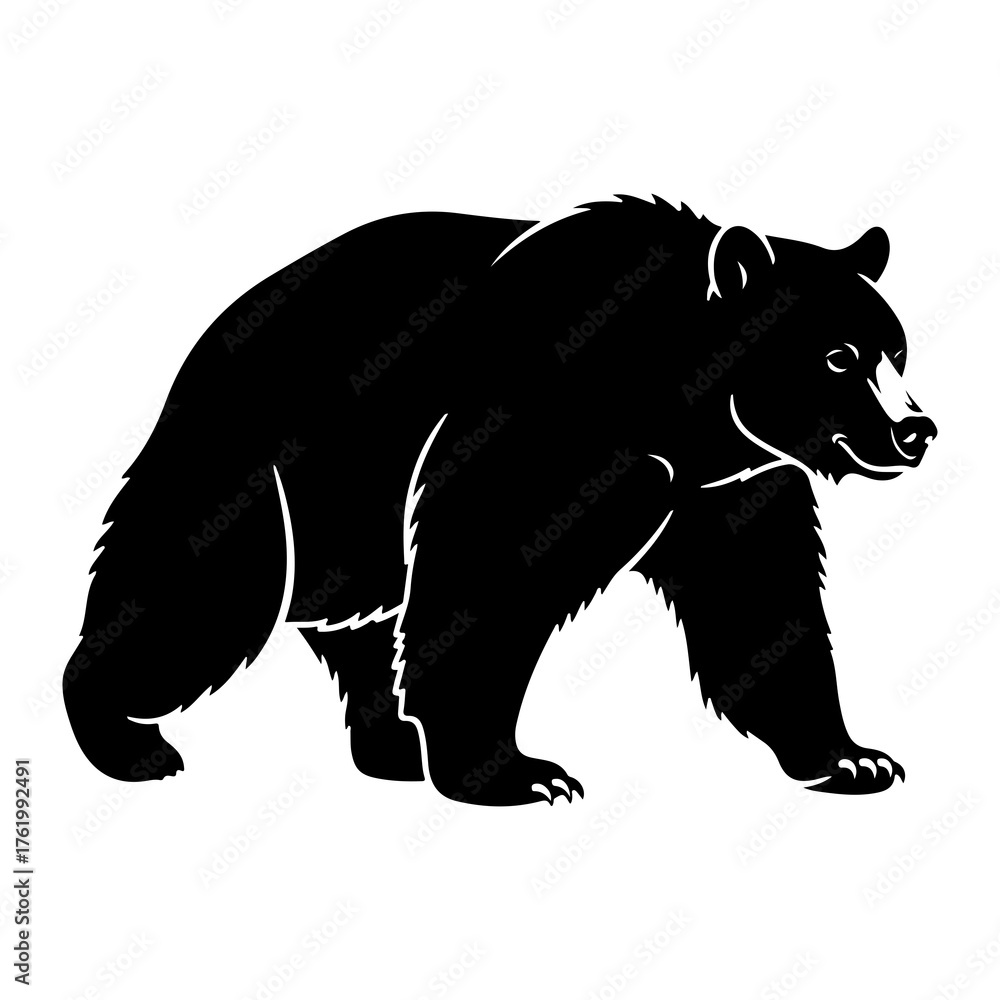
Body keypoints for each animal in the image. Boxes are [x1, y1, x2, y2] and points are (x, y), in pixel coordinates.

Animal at [62, 195, 937, 804]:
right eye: (836, 357)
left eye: (895, 351)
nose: (915, 431)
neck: (672, 400)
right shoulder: (545, 423)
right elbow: (486, 574)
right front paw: (517, 772)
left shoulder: (729, 485)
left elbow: (762, 604)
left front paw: (852, 756)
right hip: (262, 460)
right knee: (201, 596)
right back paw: (127, 740)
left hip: (353, 524)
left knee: (366, 623)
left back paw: (391, 749)